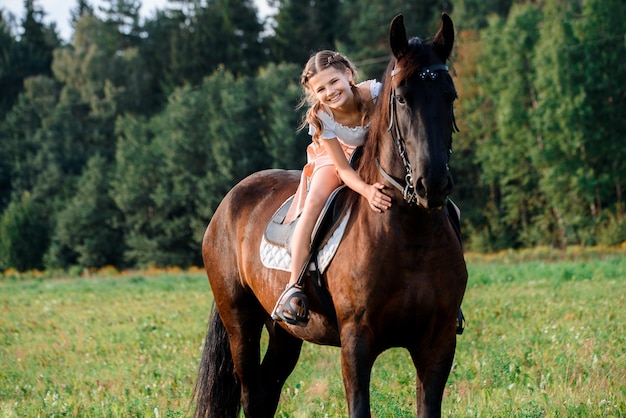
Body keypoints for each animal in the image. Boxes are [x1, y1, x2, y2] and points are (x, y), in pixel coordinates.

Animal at [193, 13, 466, 418]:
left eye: (450, 95)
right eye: (402, 98)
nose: (431, 183)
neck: (410, 236)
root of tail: (229, 201)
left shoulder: (439, 343)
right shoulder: (356, 343)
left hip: (284, 334)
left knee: (265, 391)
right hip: (240, 323)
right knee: (250, 391)